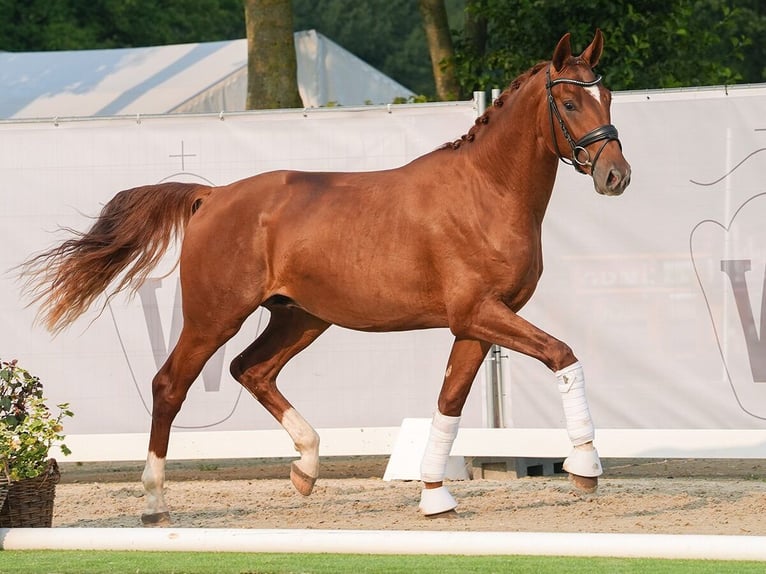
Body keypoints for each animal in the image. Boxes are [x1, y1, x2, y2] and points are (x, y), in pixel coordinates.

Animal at [24, 32, 632, 528]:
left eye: (607, 97)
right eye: (570, 101)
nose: (615, 175)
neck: (487, 191)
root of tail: (212, 196)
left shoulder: (476, 325)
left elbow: (449, 403)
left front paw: (434, 495)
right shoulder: (479, 314)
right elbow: (563, 355)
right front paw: (584, 467)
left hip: (301, 318)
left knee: (252, 370)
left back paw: (307, 468)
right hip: (214, 318)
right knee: (169, 385)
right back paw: (155, 503)